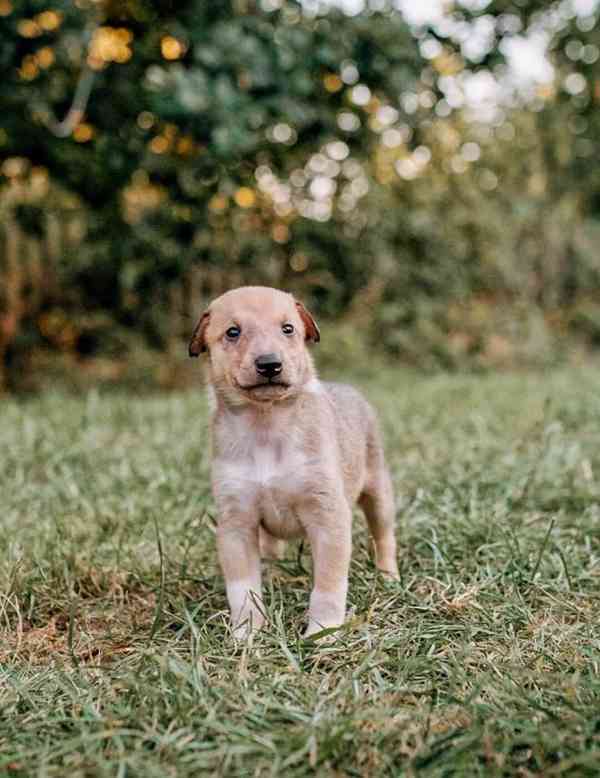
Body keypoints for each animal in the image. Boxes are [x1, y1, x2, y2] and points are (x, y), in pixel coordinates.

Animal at [189, 284, 398, 636]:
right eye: (233, 332)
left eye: (288, 329)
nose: (269, 364)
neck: (266, 426)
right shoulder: (236, 521)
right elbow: (243, 588)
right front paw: (247, 633)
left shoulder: (328, 514)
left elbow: (328, 584)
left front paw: (323, 632)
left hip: (378, 492)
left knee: (383, 535)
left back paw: (388, 577)